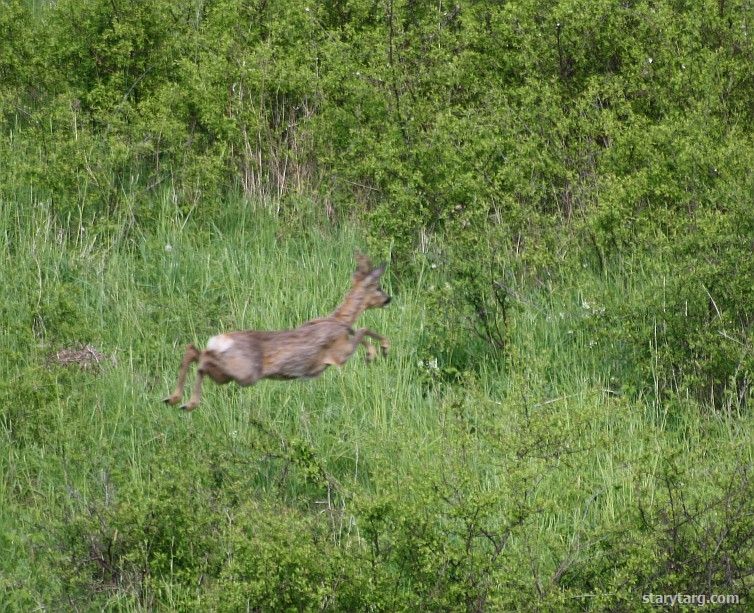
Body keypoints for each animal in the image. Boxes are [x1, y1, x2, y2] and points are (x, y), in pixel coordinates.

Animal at [162, 253, 390, 412]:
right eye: (378, 287)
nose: (389, 299)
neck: (339, 319)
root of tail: (220, 340)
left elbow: (360, 330)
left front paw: (377, 350)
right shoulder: (339, 355)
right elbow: (362, 330)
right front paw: (378, 351)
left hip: (226, 374)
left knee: (193, 351)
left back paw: (174, 399)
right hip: (245, 373)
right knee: (201, 360)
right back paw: (188, 403)